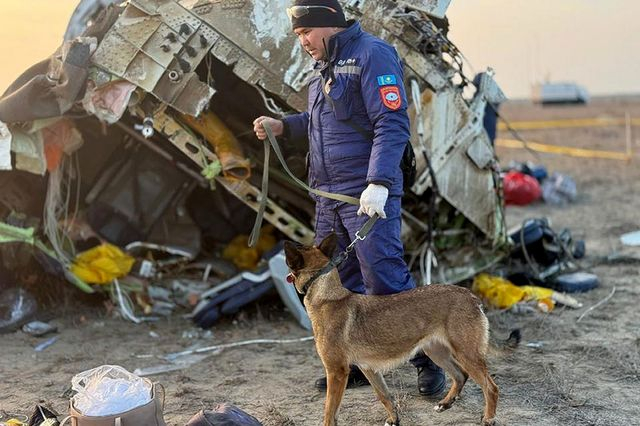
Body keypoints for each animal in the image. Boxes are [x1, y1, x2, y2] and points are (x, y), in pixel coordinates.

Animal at [284, 233, 520, 426]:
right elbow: (384, 396)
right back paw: (445, 403)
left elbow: (329, 412)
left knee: (491, 387)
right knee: (460, 375)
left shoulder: (336, 372)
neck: (326, 294)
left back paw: (488, 418)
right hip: (437, 352)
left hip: (466, 354)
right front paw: (394, 419)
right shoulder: (369, 369)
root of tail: (471, 297)